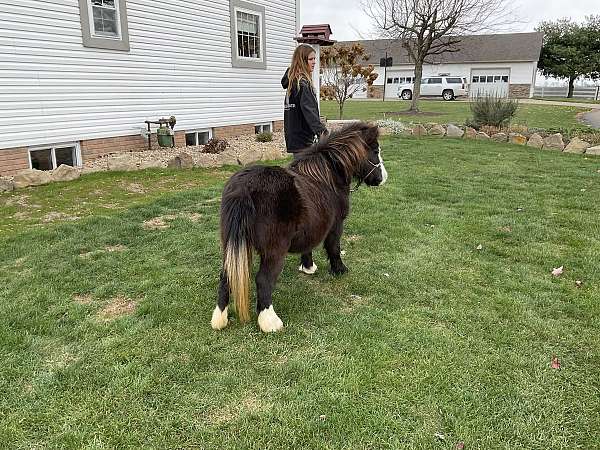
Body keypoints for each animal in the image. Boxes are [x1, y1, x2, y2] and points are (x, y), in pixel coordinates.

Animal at [211, 121, 390, 332]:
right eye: (376, 150)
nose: (383, 178)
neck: (328, 174)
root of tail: (243, 189)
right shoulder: (336, 224)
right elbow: (334, 247)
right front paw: (339, 269)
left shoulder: (312, 227)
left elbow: (308, 246)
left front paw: (308, 267)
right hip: (274, 250)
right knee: (263, 280)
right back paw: (270, 322)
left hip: (233, 245)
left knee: (226, 276)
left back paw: (220, 319)